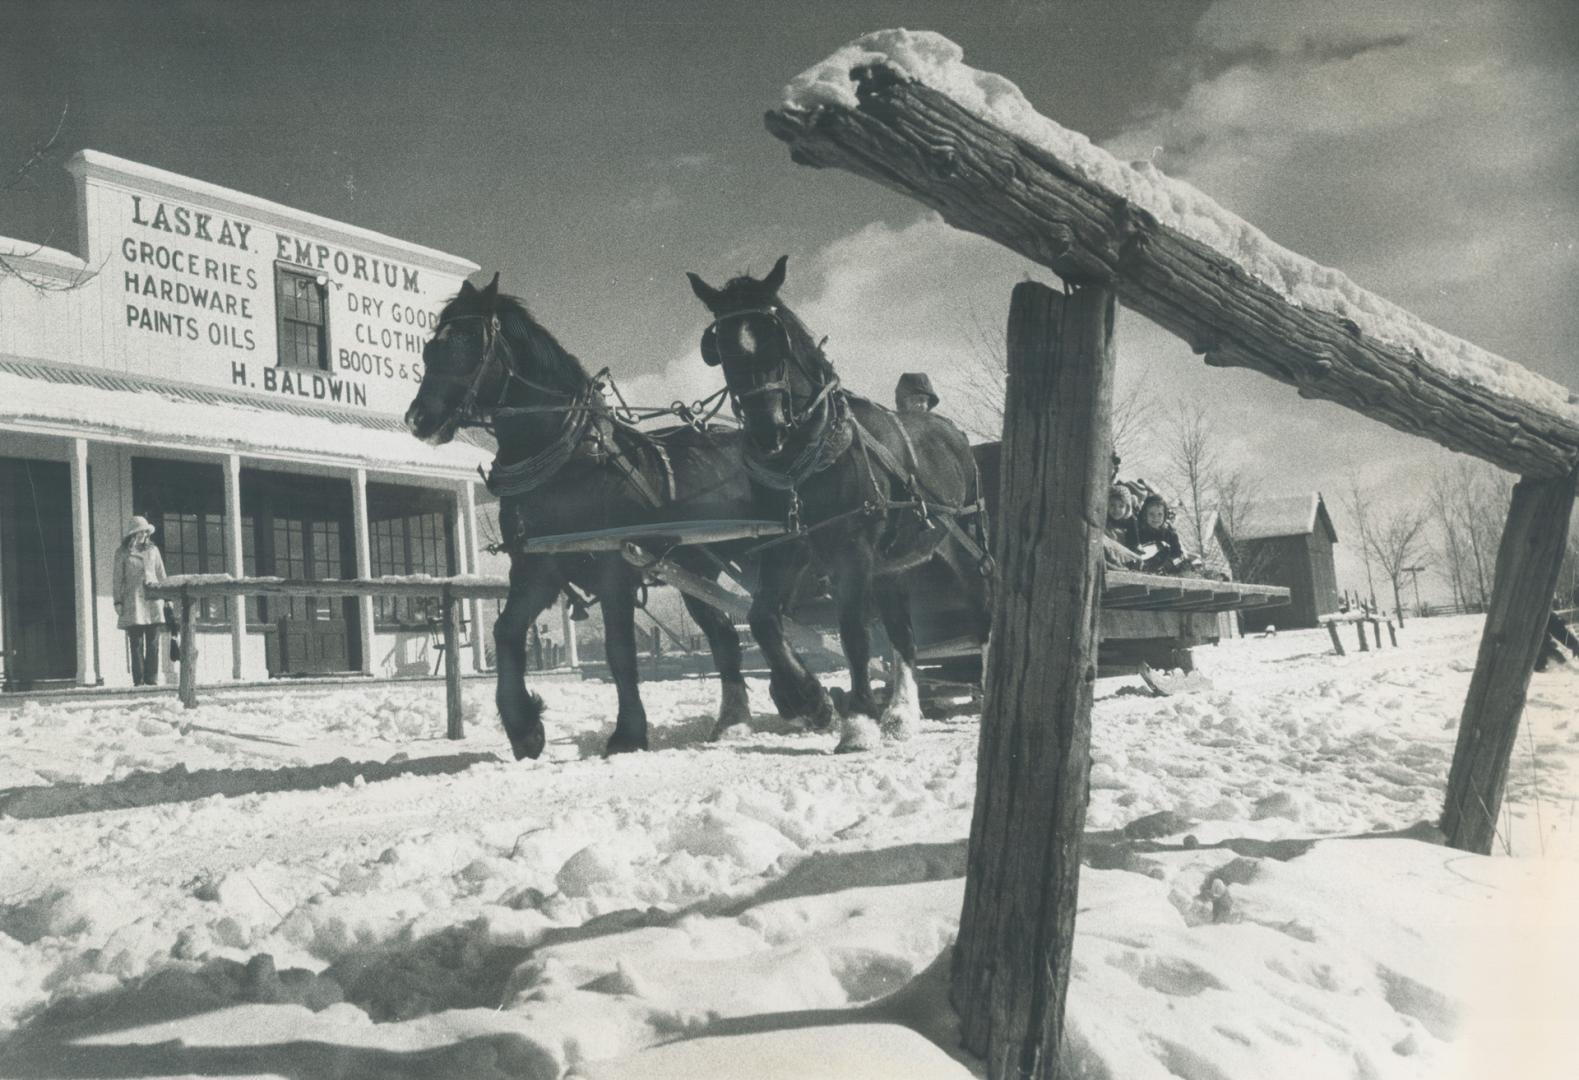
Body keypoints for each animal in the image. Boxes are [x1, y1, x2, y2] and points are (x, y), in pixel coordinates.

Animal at [404, 274, 773, 754]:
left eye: (470, 343)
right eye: (431, 348)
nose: (419, 419)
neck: (568, 463)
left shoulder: (616, 568)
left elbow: (619, 650)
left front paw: (627, 734)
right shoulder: (538, 569)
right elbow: (506, 631)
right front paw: (525, 727)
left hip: (757, 555)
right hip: (697, 569)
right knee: (726, 635)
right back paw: (733, 722)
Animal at [688, 258, 985, 754]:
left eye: (779, 338)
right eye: (721, 349)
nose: (768, 430)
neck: (804, 462)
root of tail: (952, 432)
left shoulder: (852, 549)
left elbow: (853, 632)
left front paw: (858, 722)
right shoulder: (786, 547)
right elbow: (763, 619)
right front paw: (808, 699)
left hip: (964, 546)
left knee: (986, 604)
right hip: (892, 566)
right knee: (903, 634)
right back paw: (902, 714)